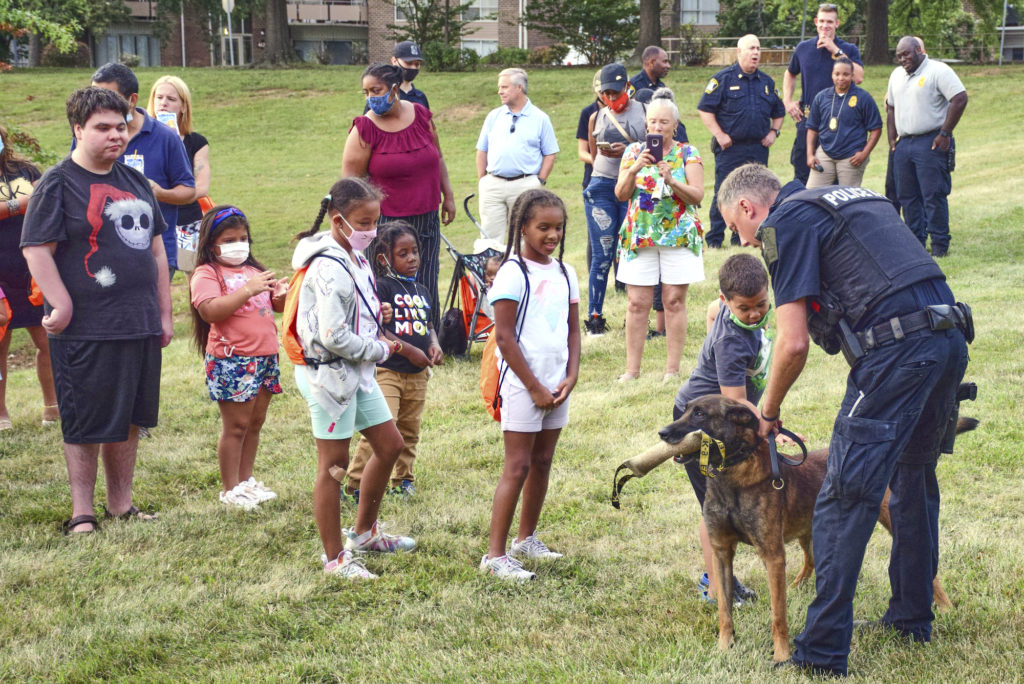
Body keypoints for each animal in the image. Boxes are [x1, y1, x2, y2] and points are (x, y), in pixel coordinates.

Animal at [655, 395, 974, 663]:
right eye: (685, 410)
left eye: (700, 413)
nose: (663, 433)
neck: (732, 476)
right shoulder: (722, 551)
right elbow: (724, 608)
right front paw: (725, 646)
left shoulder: (772, 554)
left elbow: (778, 615)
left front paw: (782, 656)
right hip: (808, 530)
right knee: (810, 562)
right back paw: (797, 585)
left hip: (891, 522)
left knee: (926, 565)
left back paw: (944, 606)